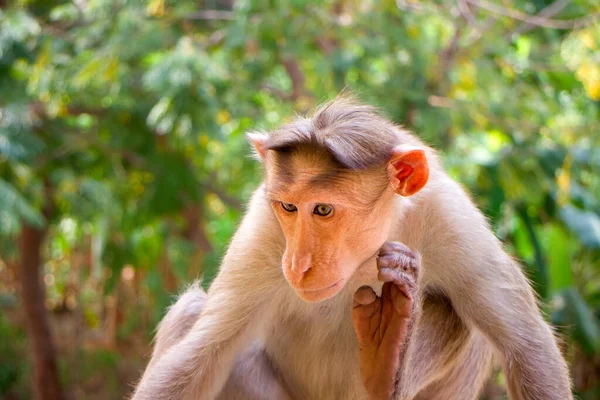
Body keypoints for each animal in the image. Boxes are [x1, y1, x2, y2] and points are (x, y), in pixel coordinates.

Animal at [132, 97, 572, 400]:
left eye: (324, 209)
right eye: (289, 207)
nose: (297, 264)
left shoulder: (454, 221)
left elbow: (527, 348)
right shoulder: (263, 233)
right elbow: (203, 354)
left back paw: (384, 362)